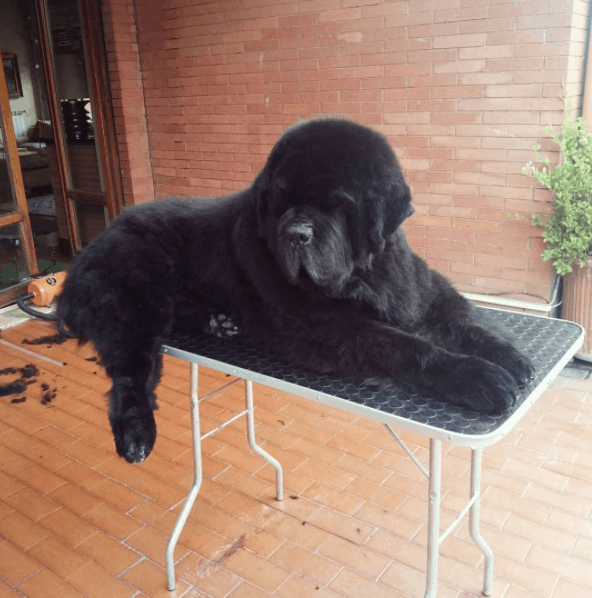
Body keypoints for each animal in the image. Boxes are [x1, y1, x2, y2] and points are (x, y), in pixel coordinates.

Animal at [57, 118, 536, 464]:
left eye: (339, 205)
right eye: (282, 203)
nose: (296, 233)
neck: (364, 274)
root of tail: (99, 237)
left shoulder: (423, 289)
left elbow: (465, 321)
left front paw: (511, 357)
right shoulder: (329, 328)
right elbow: (408, 346)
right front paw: (480, 377)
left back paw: (220, 323)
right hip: (135, 300)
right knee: (130, 371)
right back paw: (137, 435)